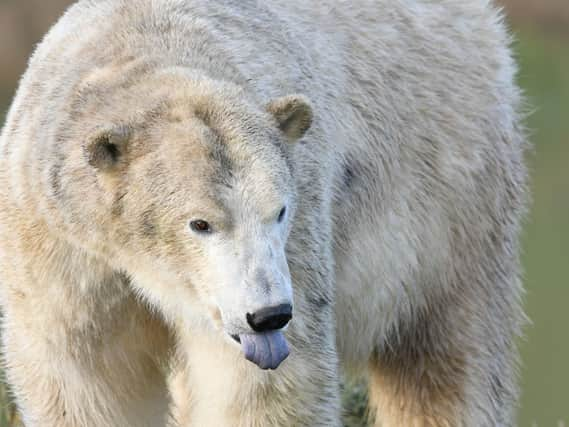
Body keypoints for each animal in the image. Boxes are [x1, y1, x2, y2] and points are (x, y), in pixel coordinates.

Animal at [0, 0, 528, 427]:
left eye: (279, 211)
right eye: (200, 223)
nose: (268, 316)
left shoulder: (302, 225)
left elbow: (265, 389)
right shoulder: (53, 244)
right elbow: (84, 379)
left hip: (452, 197)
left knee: (445, 359)